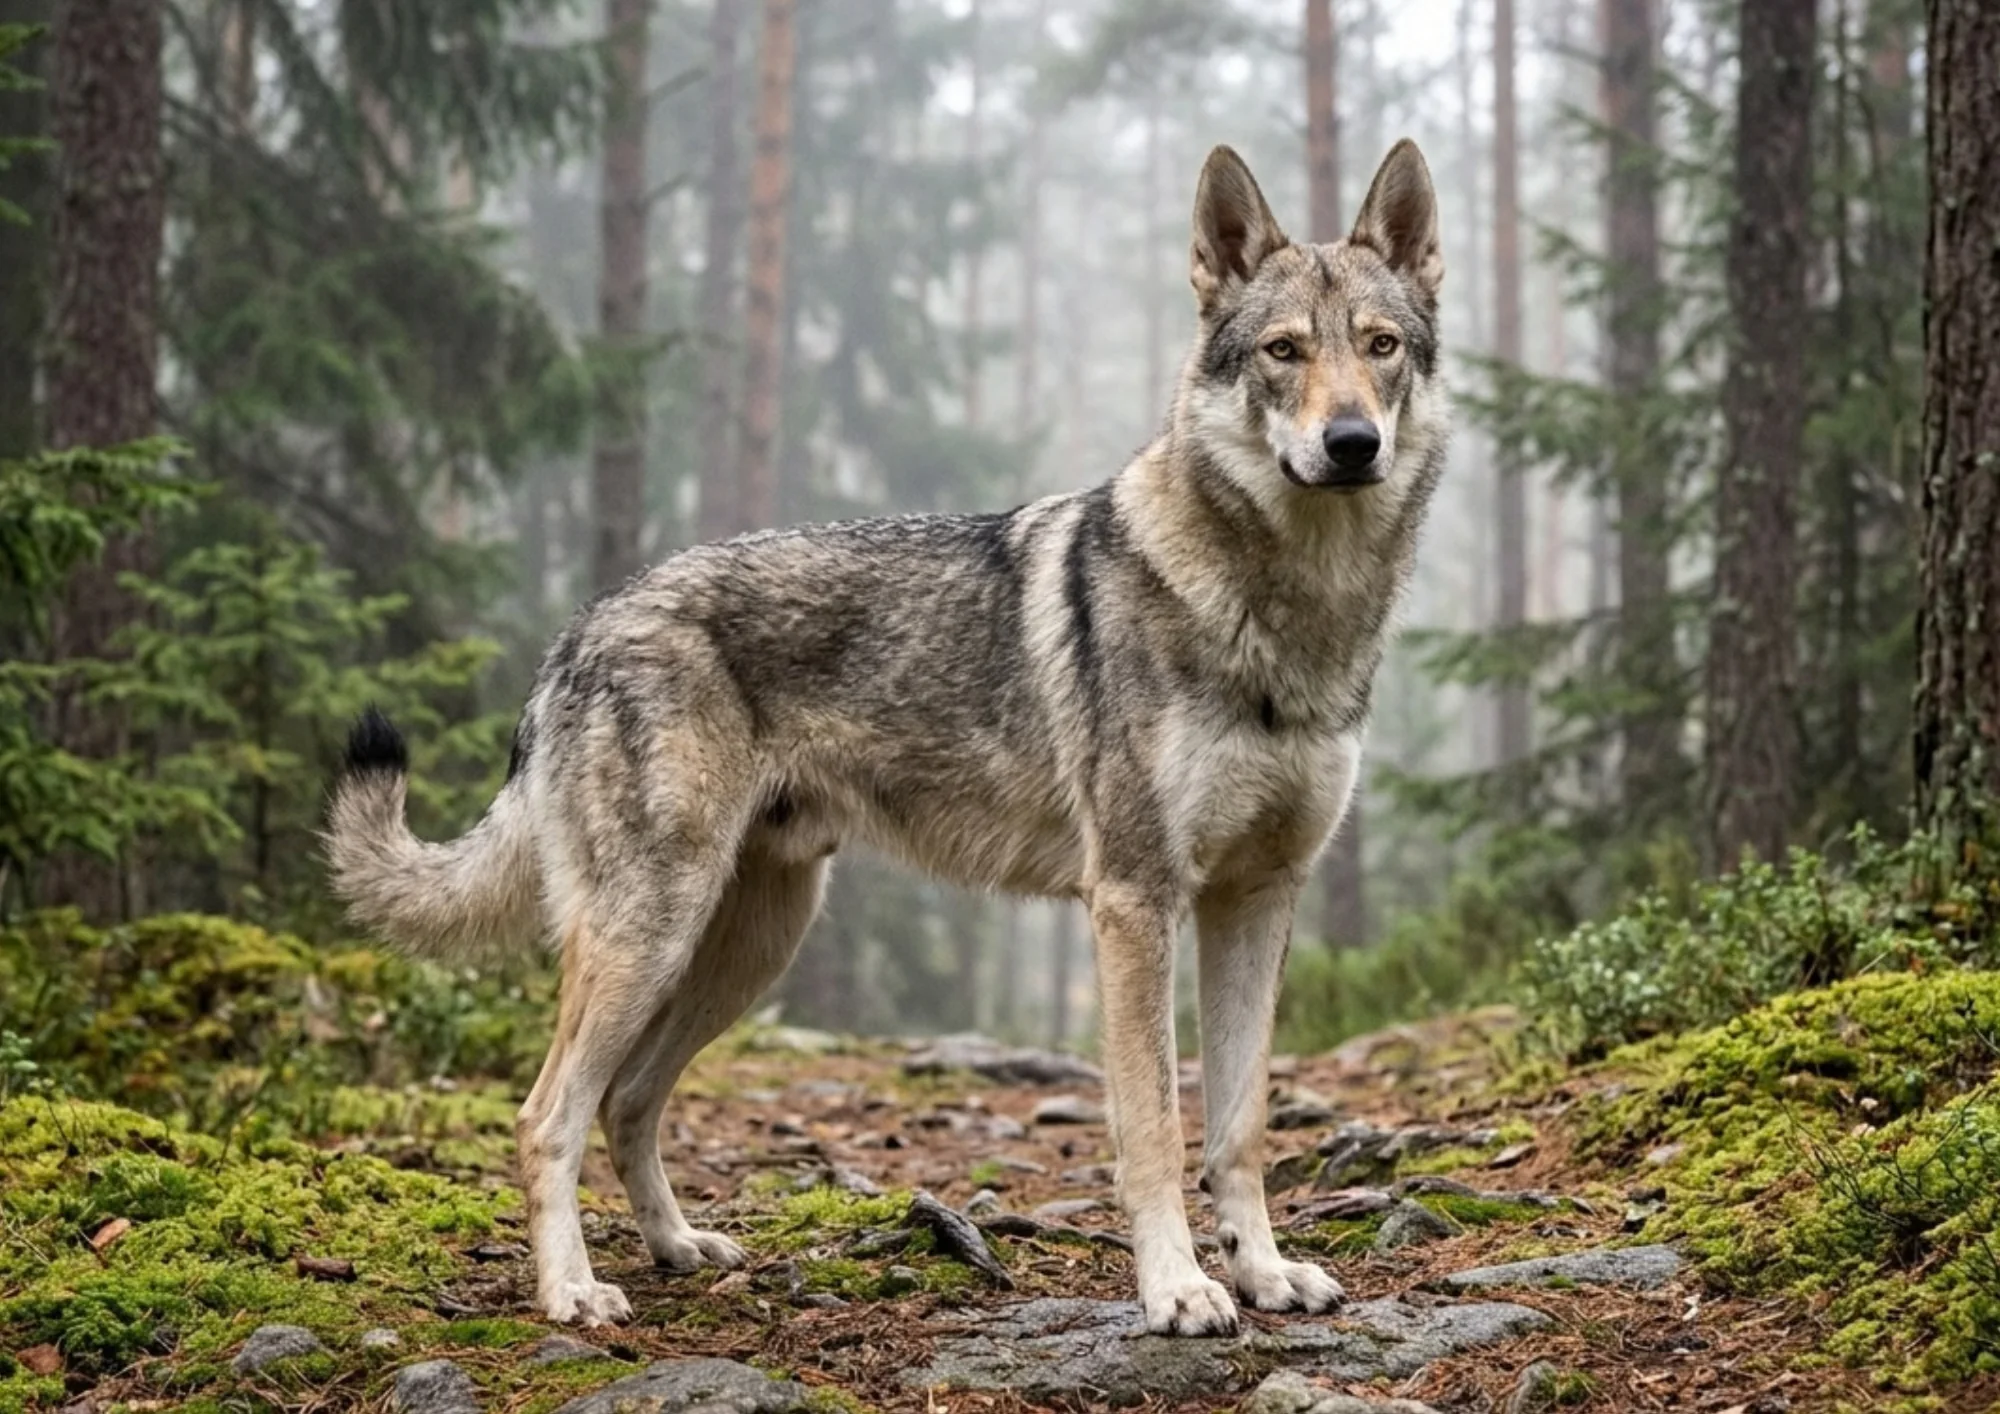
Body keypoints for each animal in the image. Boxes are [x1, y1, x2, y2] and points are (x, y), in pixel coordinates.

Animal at [327, 138, 1447, 1335]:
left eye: (1379, 348)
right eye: (1285, 352)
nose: (1351, 443)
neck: (1288, 613)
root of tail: (578, 628)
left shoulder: (1258, 898)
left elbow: (1238, 1127)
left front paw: (1265, 1273)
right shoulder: (1135, 902)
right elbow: (1150, 1125)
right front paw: (1179, 1289)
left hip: (748, 946)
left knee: (627, 1100)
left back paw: (679, 1247)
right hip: (653, 935)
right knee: (548, 1115)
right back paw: (574, 1292)